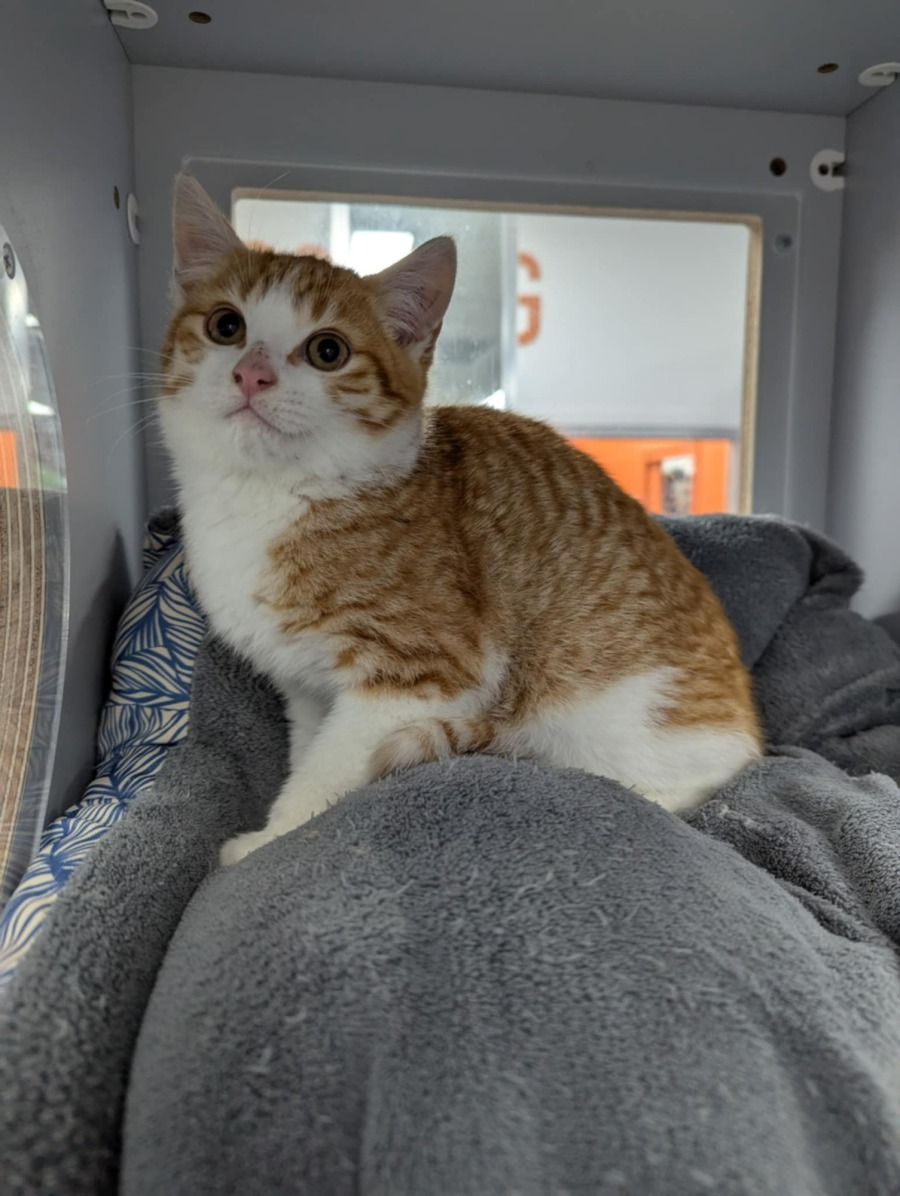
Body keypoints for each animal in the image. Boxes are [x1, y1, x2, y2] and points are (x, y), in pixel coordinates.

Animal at [158, 174, 762, 867]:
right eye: (226, 325)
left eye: (327, 350)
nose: (250, 373)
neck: (269, 497)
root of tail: (752, 741)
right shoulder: (308, 691)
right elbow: (310, 748)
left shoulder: (422, 676)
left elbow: (330, 769)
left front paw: (271, 843)